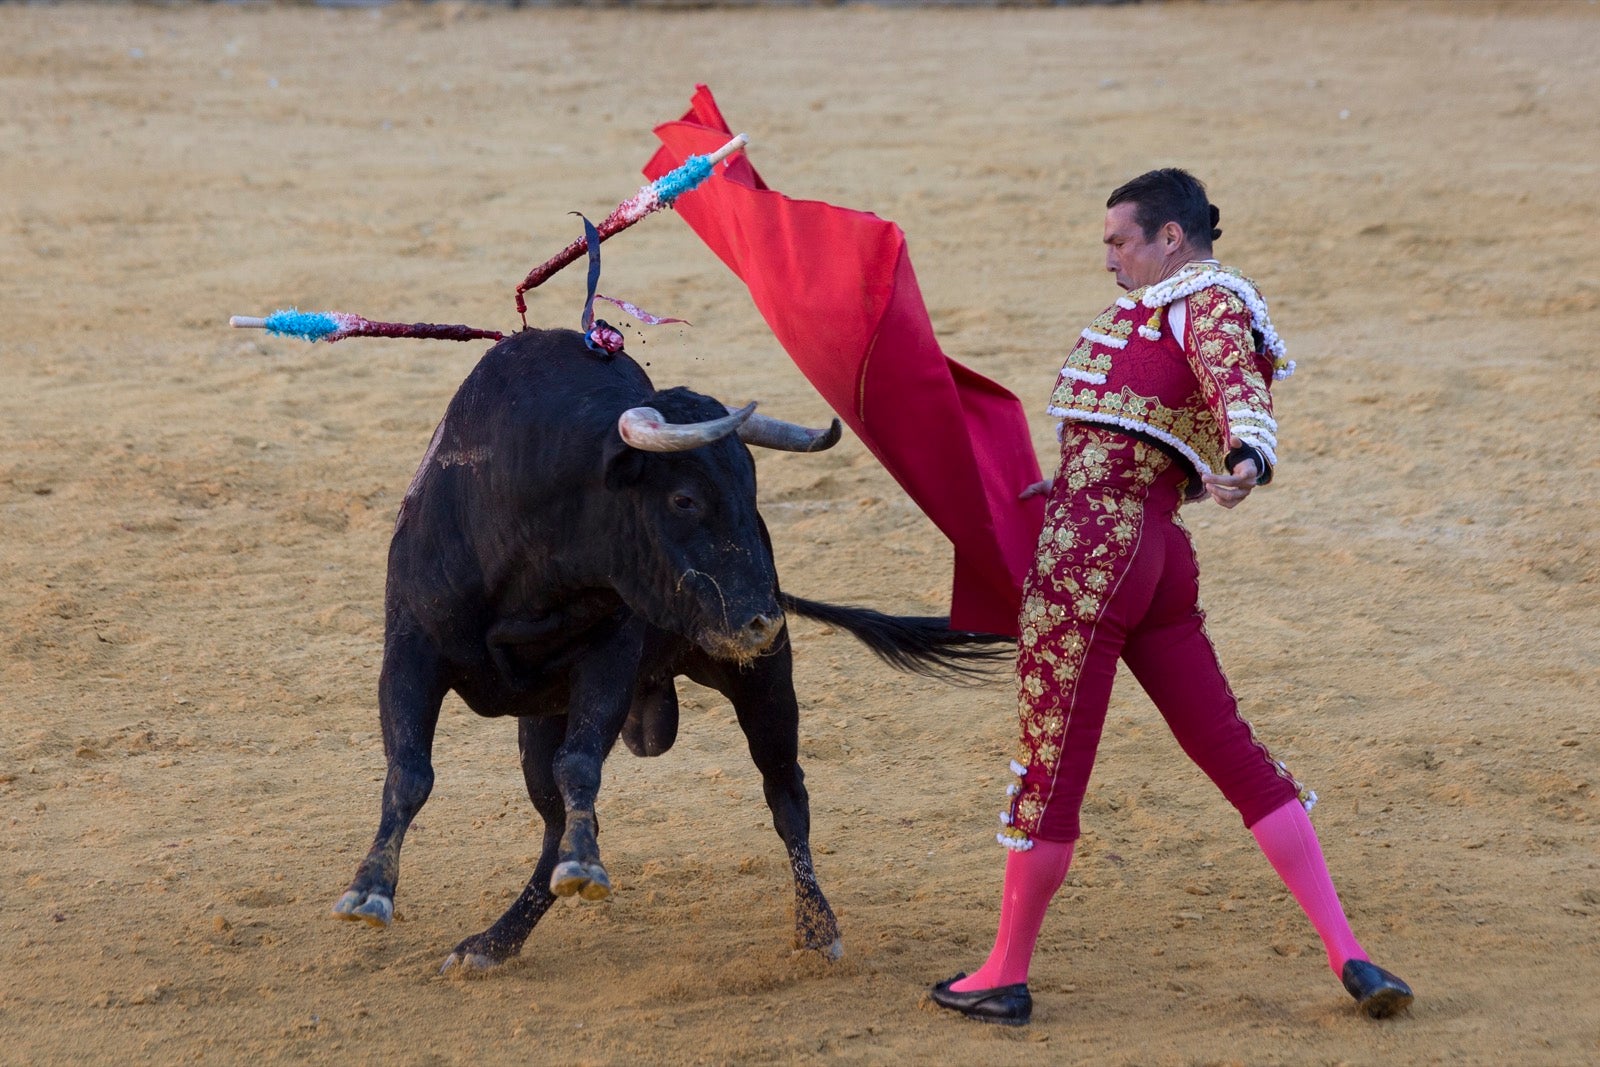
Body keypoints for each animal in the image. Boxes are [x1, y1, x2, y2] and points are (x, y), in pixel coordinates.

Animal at [334, 329, 1011, 972]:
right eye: (684, 498)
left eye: (753, 494)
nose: (763, 619)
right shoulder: (410, 652)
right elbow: (410, 772)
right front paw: (369, 892)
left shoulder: (608, 657)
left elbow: (580, 764)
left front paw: (587, 869)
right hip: (542, 718)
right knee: (554, 822)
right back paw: (495, 942)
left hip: (763, 683)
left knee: (786, 795)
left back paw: (817, 929)